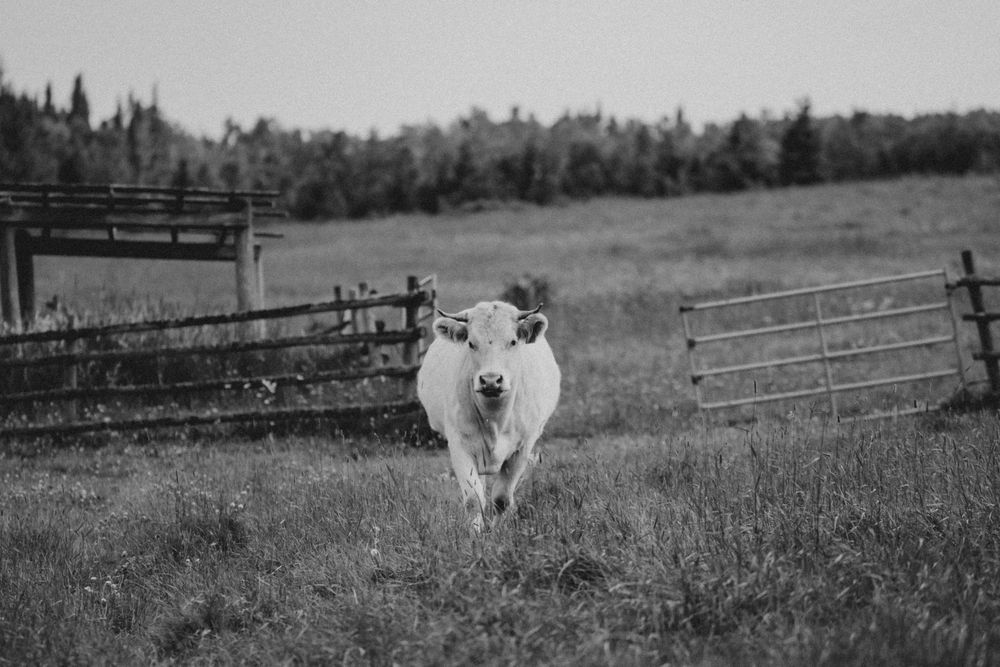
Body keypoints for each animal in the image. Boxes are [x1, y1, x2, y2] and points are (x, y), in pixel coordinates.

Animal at [417, 301, 560, 532]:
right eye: (471, 343)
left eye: (513, 341)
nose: (491, 380)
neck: (494, 419)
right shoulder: (460, 446)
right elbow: (473, 498)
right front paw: (475, 532)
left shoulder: (522, 448)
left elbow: (501, 499)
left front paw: (496, 530)